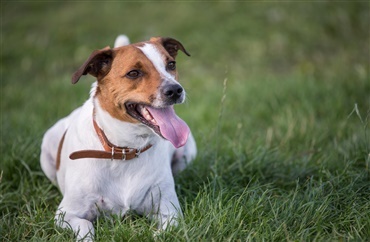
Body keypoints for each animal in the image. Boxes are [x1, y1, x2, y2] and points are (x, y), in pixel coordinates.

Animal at [40, 35, 197, 240]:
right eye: (133, 73)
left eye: (171, 64)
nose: (175, 90)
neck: (124, 149)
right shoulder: (67, 214)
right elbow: (85, 227)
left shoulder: (170, 212)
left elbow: (162, 232)